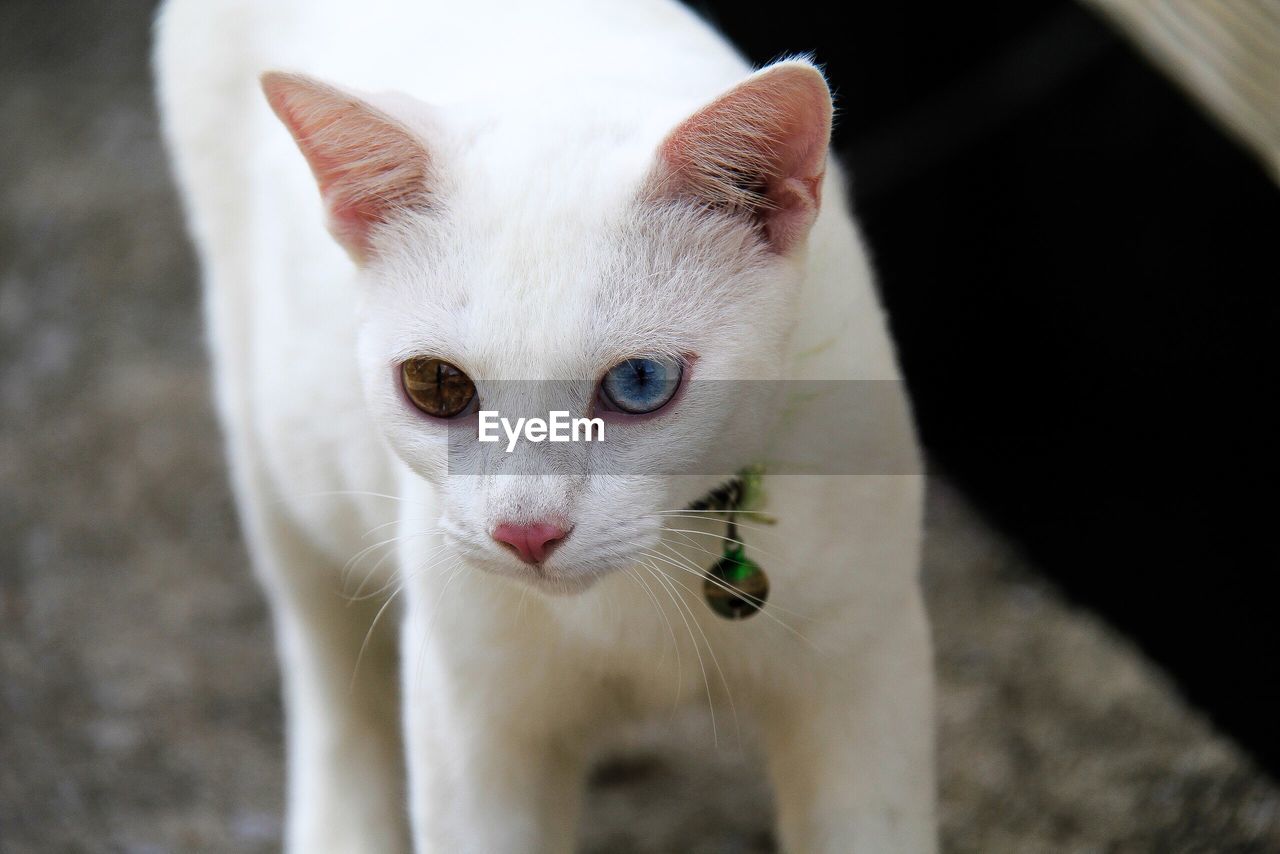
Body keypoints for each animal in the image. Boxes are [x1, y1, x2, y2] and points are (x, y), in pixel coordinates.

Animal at [154, 3, 936, 850]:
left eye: (639, 381)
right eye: (437, 384)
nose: (526, 532)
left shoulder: (865, 680)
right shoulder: (469, 725)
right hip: (270, 453)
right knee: (326, 667)